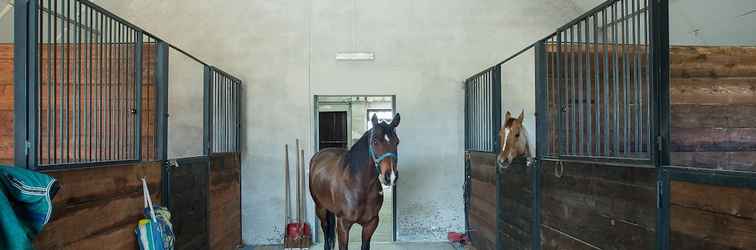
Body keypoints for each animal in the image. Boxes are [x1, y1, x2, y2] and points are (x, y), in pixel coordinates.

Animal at [308, 114, 402, 250]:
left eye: (397, 142)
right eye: (375, 141)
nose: (391, 176)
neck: (359, 185)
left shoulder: (371, 223)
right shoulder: (343, 225)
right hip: (321, 208)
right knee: (325, 230)